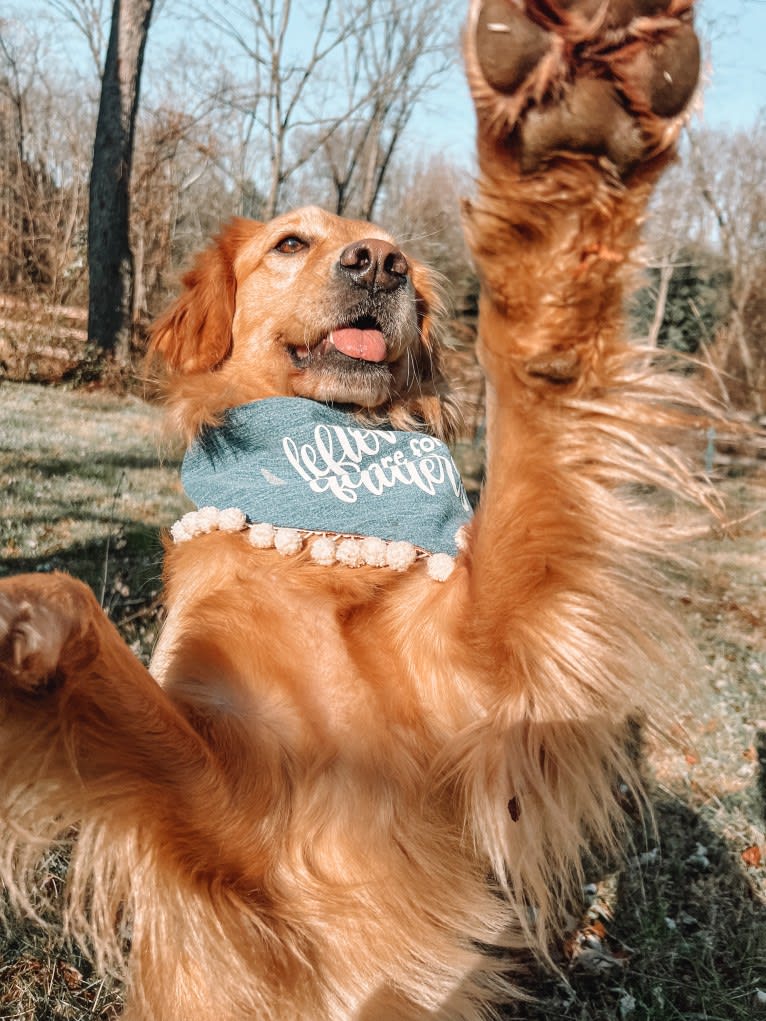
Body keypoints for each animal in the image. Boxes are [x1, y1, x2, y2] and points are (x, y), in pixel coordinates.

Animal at [0, 1, 714, 1021]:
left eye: (401, 259)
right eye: (290, 243)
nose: (379, 262)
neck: (319, 532)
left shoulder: (485, 676)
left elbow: (529, 472)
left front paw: (566, 171)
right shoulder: (237, 818)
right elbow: (102, 655)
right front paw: (26, 626)